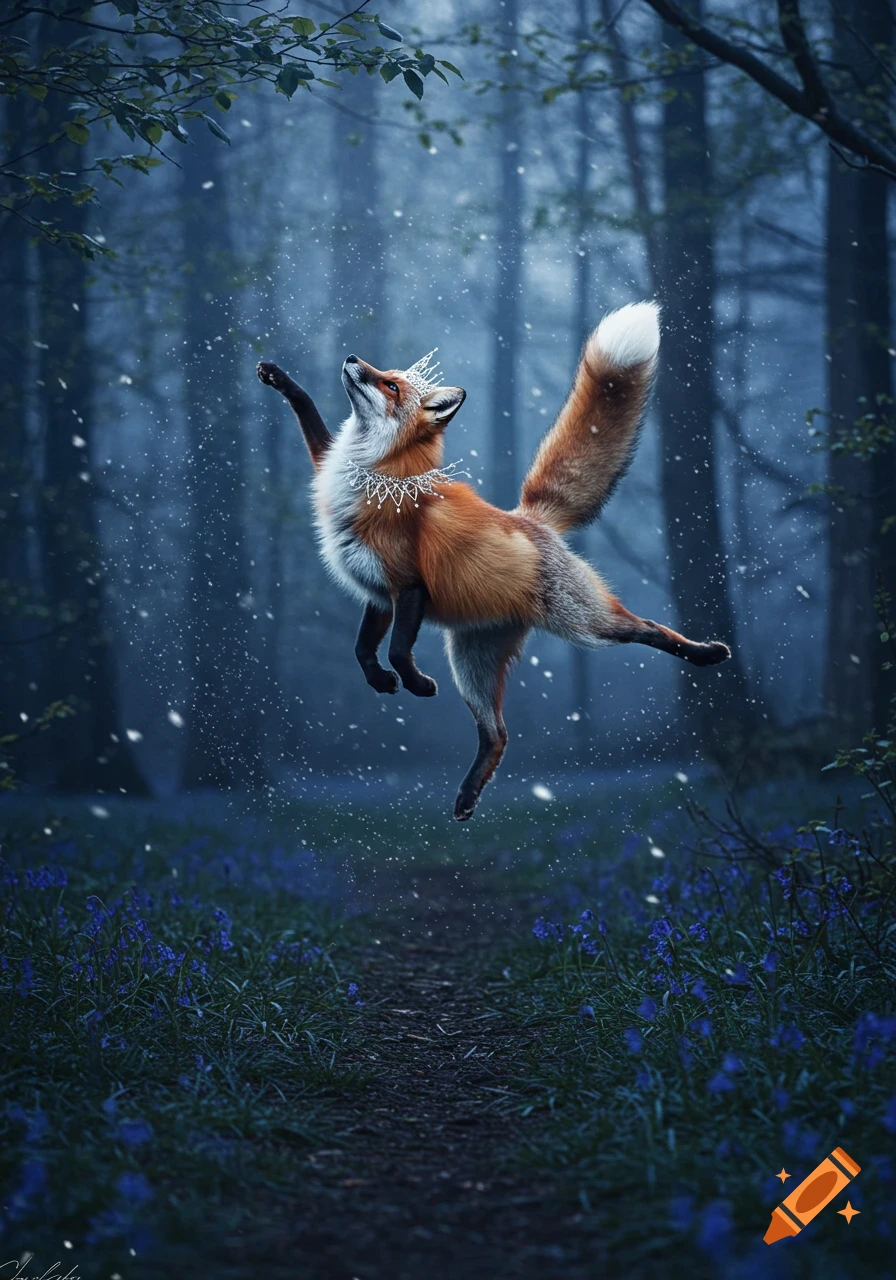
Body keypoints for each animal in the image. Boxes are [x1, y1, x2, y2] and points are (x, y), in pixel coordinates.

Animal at [257, 301, 730, 820]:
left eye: (391, 385)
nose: (352, 357)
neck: (369, 480)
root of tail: (531, 518)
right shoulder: (379, 592)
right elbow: (362, 649)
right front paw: (381, 682)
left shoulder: (409, 587)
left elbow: (398, 650)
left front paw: (417, 685)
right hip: (473, 666)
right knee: (498, 735)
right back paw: (467, 796)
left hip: (584, 623)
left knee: (648, 628)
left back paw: (707, 653)